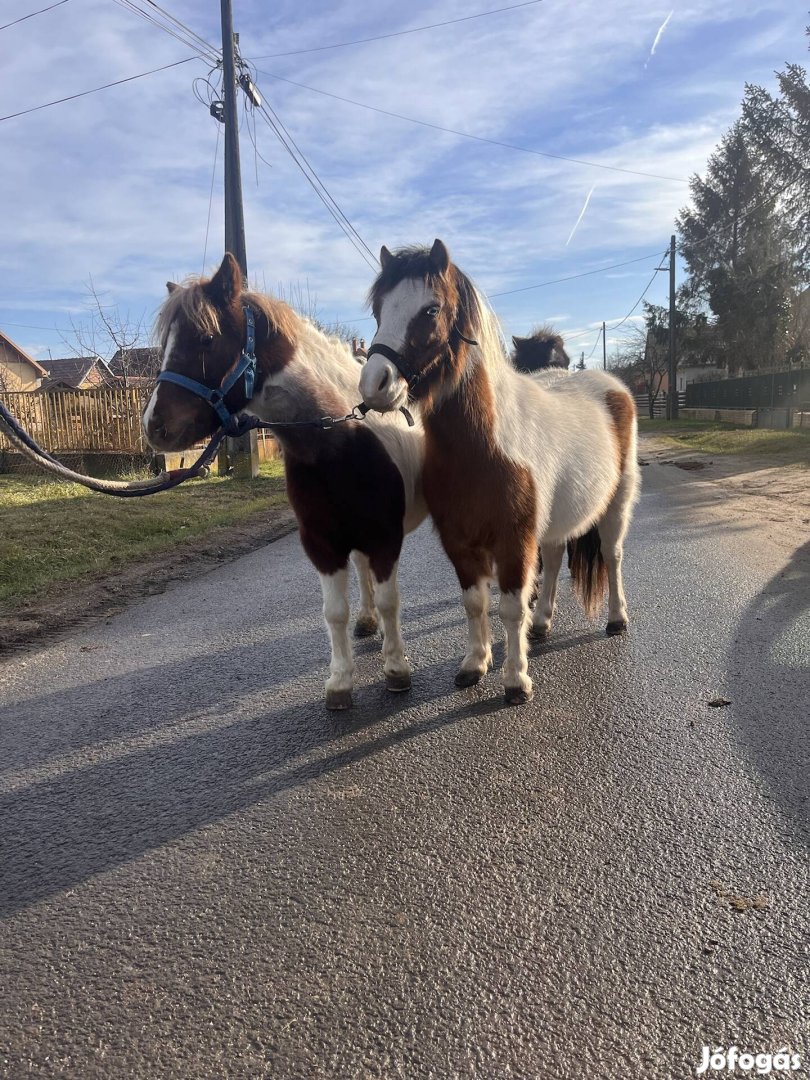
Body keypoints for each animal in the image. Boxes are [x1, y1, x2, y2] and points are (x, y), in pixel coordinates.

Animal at [142, 251, 427, 708]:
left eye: (205, 338)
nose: (154, 427)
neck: (337, 443)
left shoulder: (386, 537)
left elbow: (390, 602)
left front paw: (397, 668)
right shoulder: (322, 542)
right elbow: (334, 612)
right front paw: (340, 681)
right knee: (361, 572)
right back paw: (366, 622)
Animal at [358, 240, 639, 704]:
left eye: (431, 309)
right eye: (379, 309)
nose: (374, 385)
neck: (484, 445)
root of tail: (614, 388)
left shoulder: (514, 541)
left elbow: (510, 607)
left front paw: (515, 681)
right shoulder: (459, 542)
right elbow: (475, 603)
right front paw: (475, 664)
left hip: (617, 502)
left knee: (612, 555)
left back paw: (617, 619)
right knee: (556, 556)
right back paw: (542, 623)